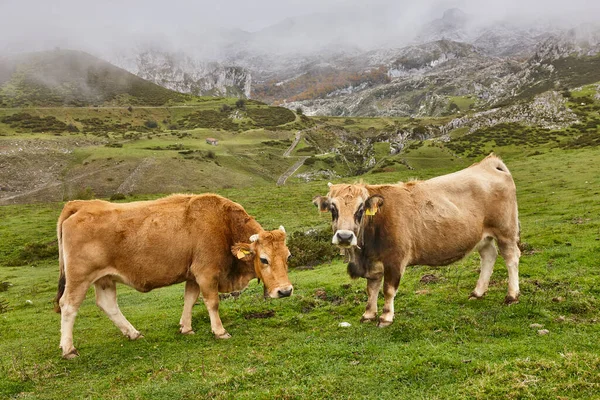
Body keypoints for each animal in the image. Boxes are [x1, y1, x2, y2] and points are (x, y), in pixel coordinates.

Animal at [55, 194, 294, 360]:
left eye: (288, 256)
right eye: (264, 259)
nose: (285, 291)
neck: (223, 224)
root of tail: (81, 205)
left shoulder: (193, 275)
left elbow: (190, 299)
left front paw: (186, 328)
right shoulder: (206, 272)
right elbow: (212, 302)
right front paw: (220, 331)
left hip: (104, 278)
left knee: (108, 304)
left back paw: (133, 333)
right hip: (80, 277)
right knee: (68, 305)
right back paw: (68, 349)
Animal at [314, 155, 520, 326]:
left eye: (360, 209)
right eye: (333, 208)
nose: (344, 236)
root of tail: (487, 163)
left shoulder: (395, 260)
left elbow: (388, 289)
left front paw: (385, 317)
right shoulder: (373, 263)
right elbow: (371, 288)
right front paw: (368, 315)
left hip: (505, 231)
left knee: (511, 258)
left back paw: (511, 296)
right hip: (482, 236)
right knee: (489, 255)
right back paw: (477, 293)